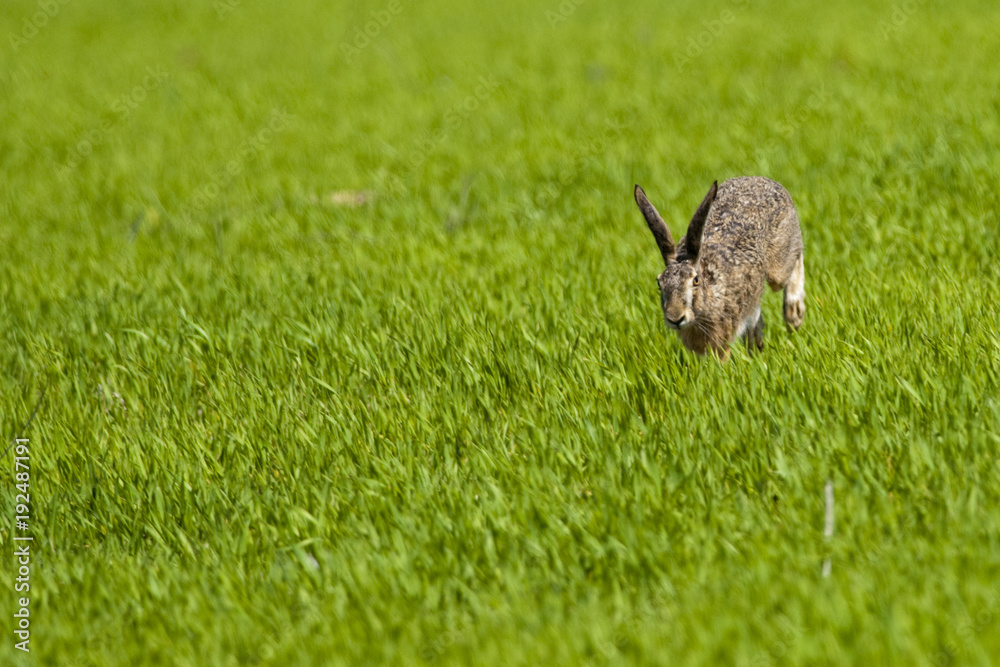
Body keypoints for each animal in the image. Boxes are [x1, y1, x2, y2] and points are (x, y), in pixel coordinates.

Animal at [633, 176, 805, 360]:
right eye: (659, 283)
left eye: (695, 280)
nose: (675, 318)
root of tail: (760, 179)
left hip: (779, 263)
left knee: (796, 258)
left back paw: (794, 314)